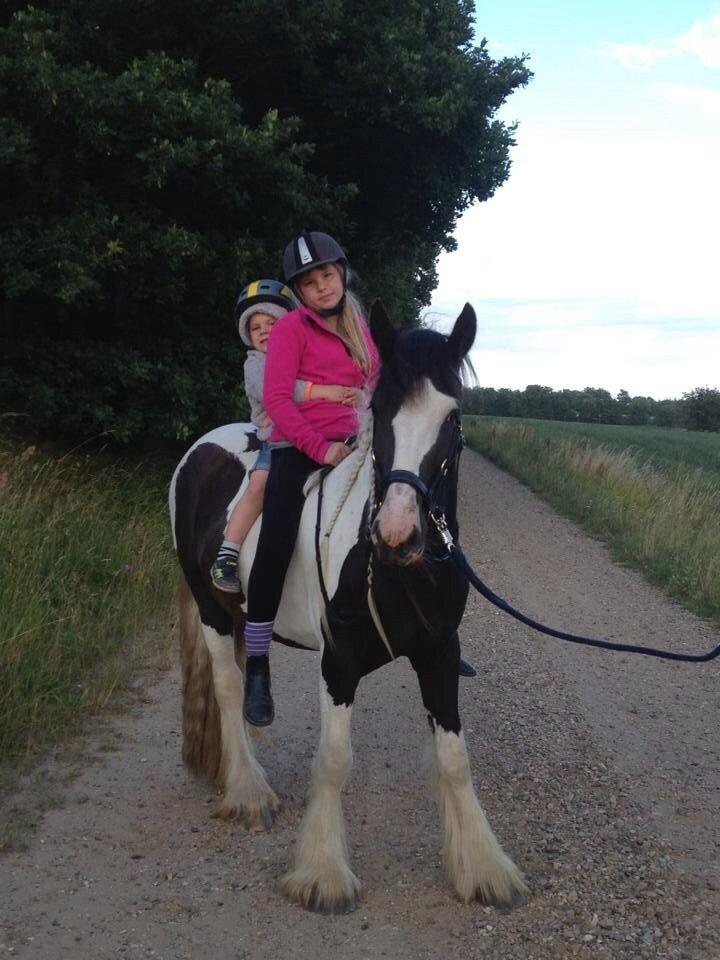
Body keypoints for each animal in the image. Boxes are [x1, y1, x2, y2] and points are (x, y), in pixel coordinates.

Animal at [171, 302, 524, 916]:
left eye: (453, 418)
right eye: (378, 411)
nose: (397, 535)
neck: (395, 571)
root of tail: (202, 449)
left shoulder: (439, 653)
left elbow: (455, 757)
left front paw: (483, 867)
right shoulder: (337, 663)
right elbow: (333, 759)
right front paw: (322, 875)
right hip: (211, 606)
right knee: (227, 687)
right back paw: (248, 792)